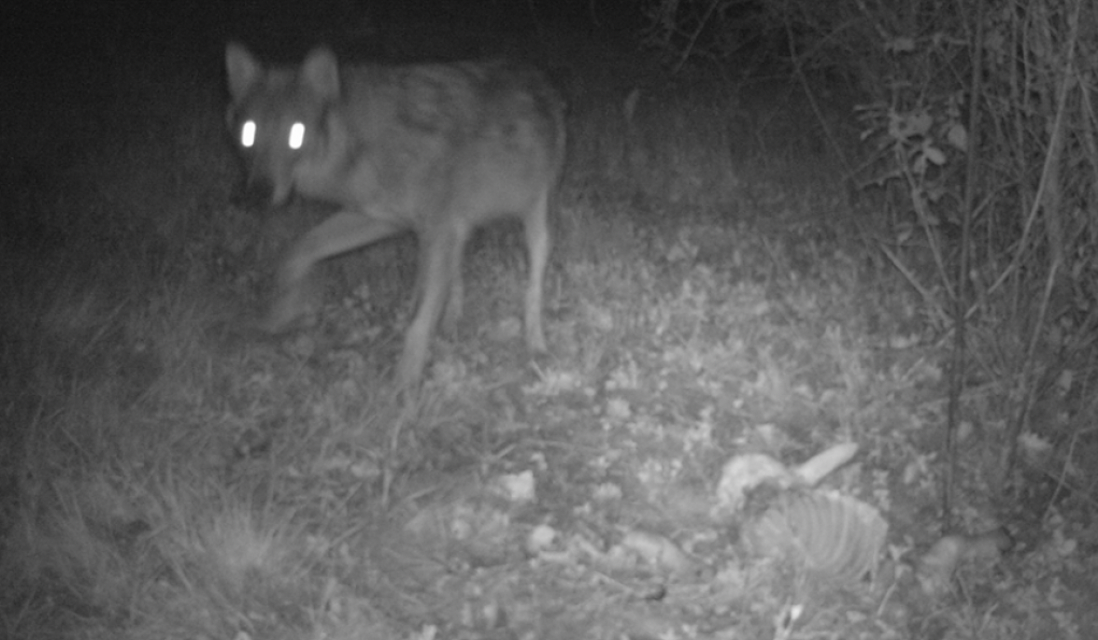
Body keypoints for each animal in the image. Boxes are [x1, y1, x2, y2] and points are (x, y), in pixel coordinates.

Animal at [222, 43, 566, 390]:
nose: (259, 192)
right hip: (454, 235)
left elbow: (418, 320)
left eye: (297, 134)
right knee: (454, 278)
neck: (364, 145)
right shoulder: (384, 220)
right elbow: (298, 250)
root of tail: (532, 71)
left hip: (535, 225)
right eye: (249, 132)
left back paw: (536, 344)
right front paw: (279, 314)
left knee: (532, 288)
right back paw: (451, 324)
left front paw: (403, 389)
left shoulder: (436, 230)